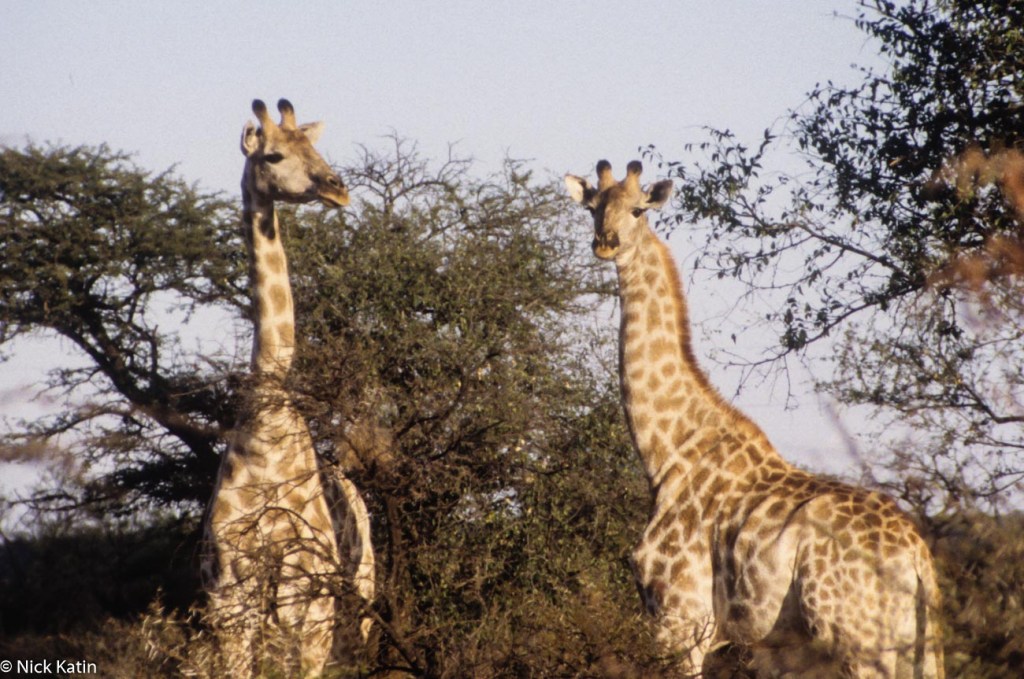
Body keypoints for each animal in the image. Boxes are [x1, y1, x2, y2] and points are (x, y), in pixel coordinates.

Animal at [202, 99, 375, 677]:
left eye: (315, 148)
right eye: (274, 155)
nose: (337, 187)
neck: (267, 423)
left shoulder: (307, 590)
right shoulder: (231, 589)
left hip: (352, 608)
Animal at [565, 160, 943, 678]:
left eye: (639, 210)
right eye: (592, 207)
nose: (606, 242)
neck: (668, 452)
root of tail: (917, 560)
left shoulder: (682, 618)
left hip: (861, 643)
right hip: (912, 647)